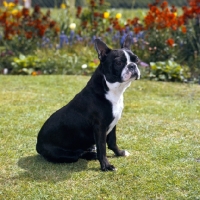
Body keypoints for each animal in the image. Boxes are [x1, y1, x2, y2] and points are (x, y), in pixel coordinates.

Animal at [36, 35, 141, 171]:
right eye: (119, 63)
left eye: (136, 60)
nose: (132, 66)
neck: (111, 89)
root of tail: (37, 145)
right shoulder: (100, 127)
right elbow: (102, 148)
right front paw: (106, 166)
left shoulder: (113, 123)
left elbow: (112, 142)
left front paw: (120, 153)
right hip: (63, 154)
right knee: (78, 154)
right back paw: (92, 154)